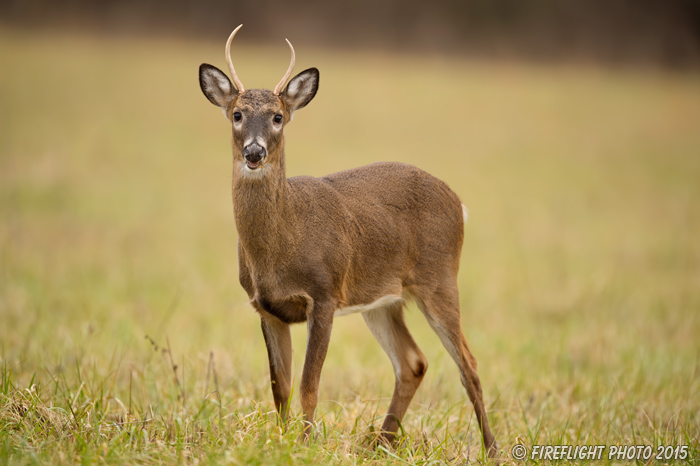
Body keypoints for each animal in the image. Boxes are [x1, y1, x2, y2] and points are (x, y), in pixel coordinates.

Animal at [198, 25, 498, 458]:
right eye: (237, 114)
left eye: (277, 117)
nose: (254, 152)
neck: (282, 243)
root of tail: (459, 203)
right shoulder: (265, 307)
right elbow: (280, 386)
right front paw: (281, 442)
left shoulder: (324, 293)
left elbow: (309, 384)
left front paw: (305, 445)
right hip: (383, 298)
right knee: (413, 362)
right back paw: (380, 444)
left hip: (439, 278)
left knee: (468, 364)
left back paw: (491, 448)